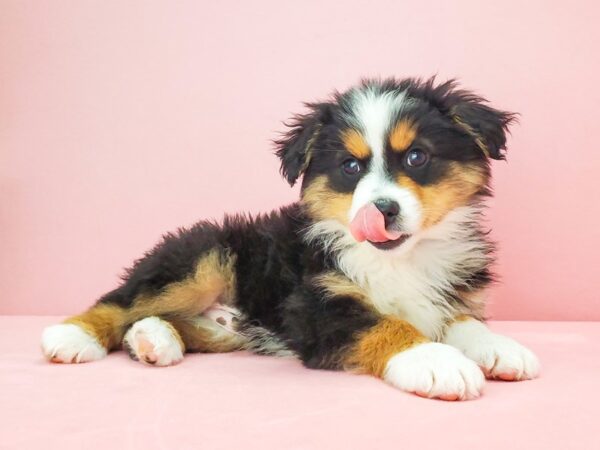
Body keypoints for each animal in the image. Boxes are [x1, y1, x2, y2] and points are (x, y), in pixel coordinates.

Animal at [41, 77, 540, 400]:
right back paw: (73, 335)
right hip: (201, 258)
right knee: (121, 301)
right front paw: (435, 361)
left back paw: (155, 340)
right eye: (350, 167)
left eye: (417, 157)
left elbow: (463, 321)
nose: (382, 210)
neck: (400, 261)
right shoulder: (316, 302)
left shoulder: (451, 292)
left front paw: (500, 348)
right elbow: (383, 324)